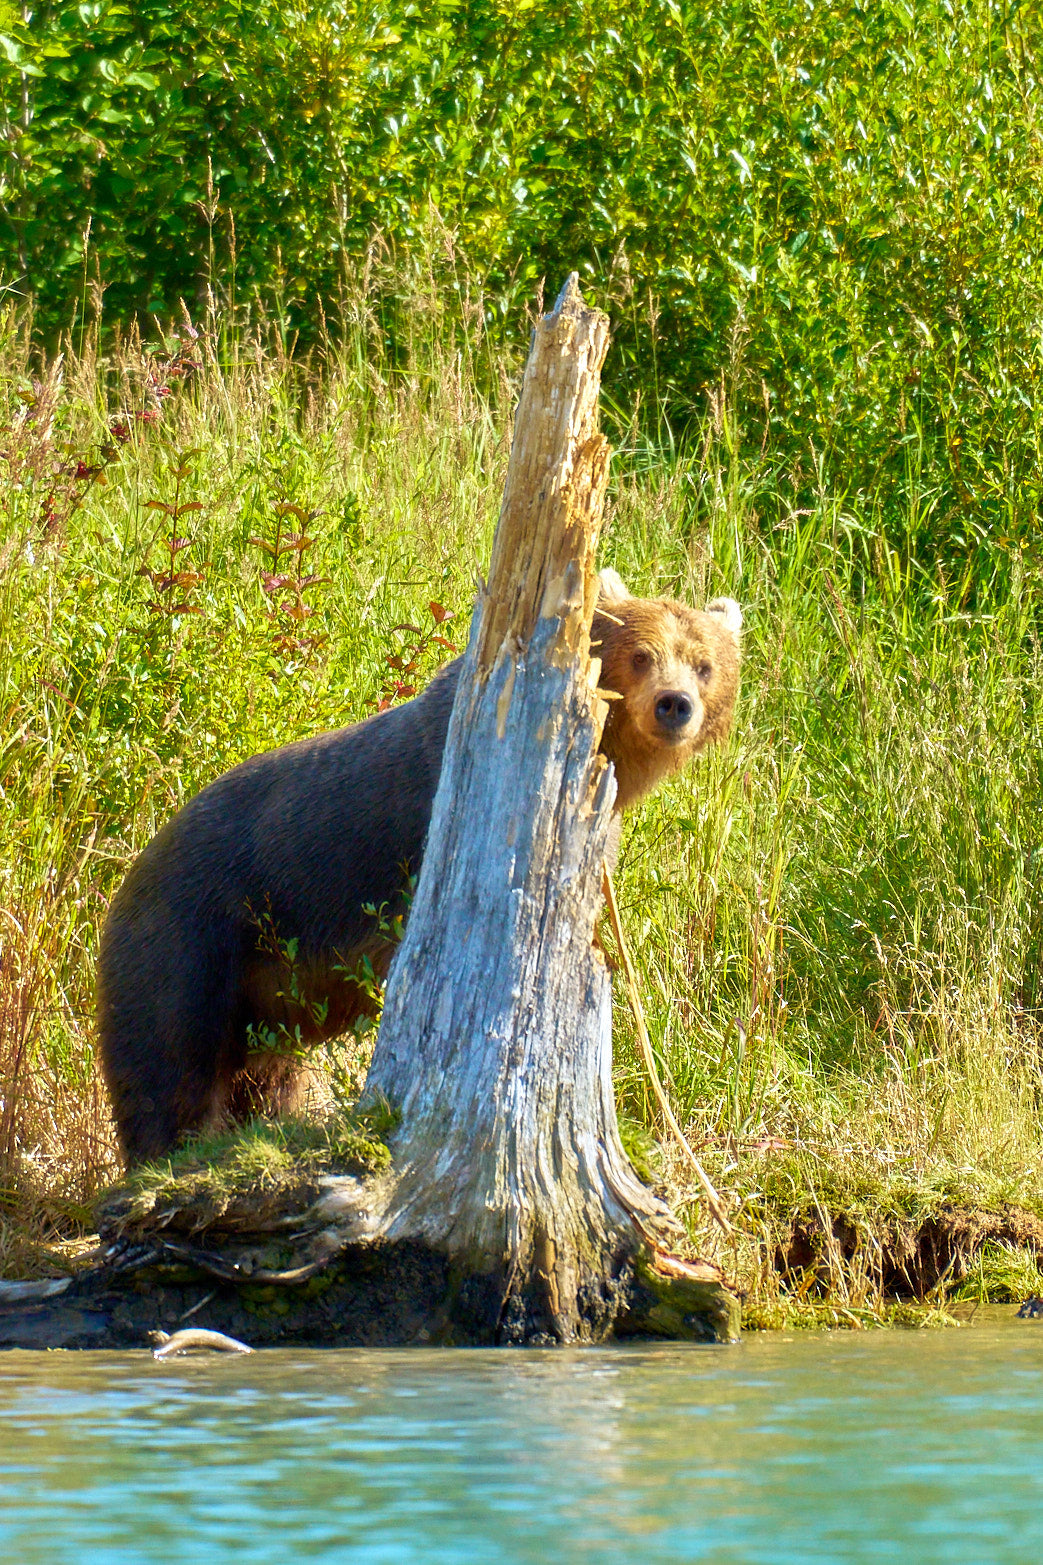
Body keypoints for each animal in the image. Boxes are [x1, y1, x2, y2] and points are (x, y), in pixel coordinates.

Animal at [97, 572, 742, 1165]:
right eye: (640, 654)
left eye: (704, 664)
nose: (674, 704)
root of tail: (128, 876)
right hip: (195, 940)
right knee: (169, 1064)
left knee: (266, 1080)